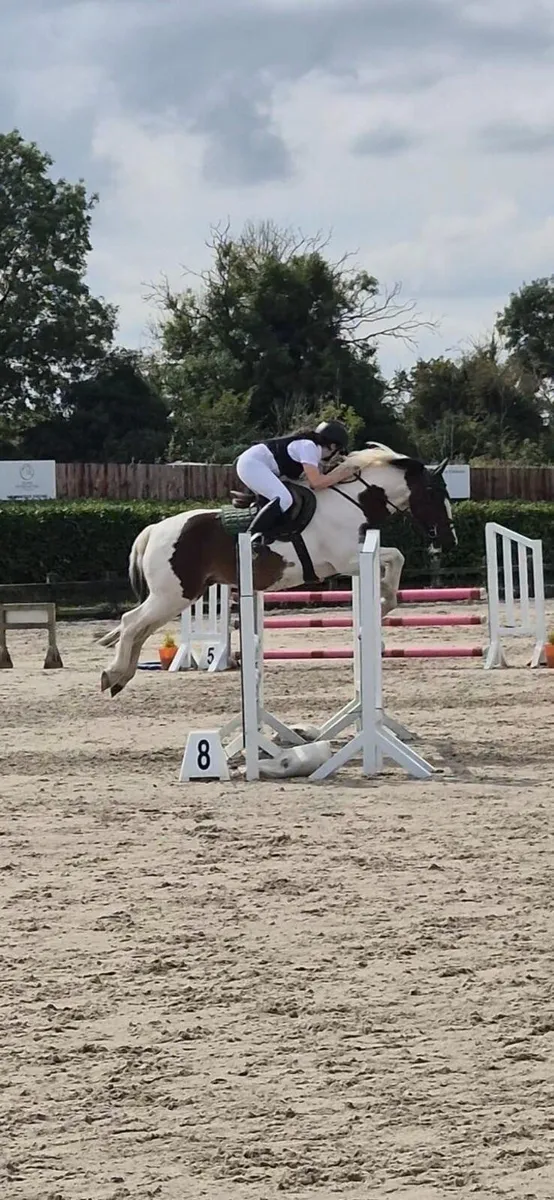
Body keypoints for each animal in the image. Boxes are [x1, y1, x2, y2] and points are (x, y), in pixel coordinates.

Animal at [98, 445, 457, 696]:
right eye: (435, 493)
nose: (450, 540)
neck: (353, 502)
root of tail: (155, 529)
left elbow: (394, 559)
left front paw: (382, 602)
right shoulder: (347, 561)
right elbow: (396, 557)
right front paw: (383, 601)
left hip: (179, 596)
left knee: (140, 629)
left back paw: (121, 676)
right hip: (173, 595)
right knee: (131, 623)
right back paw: (112, 674)